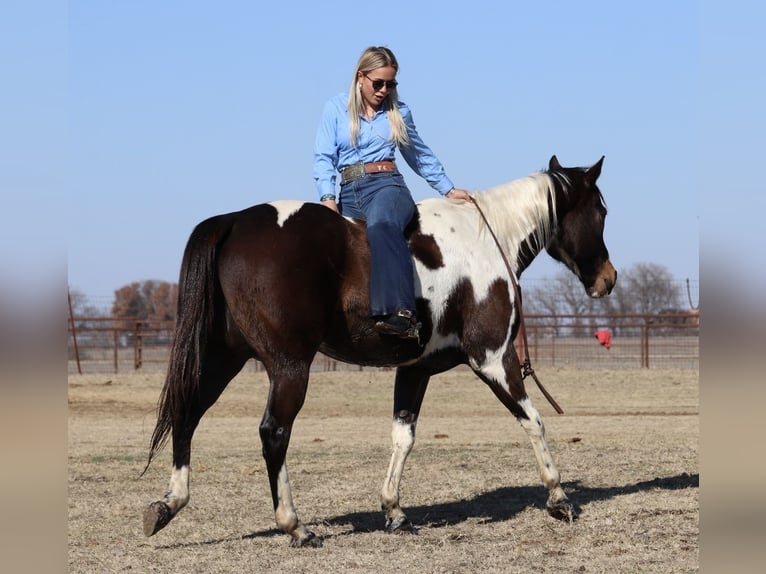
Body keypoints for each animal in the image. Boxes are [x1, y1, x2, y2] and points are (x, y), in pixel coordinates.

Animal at [142, 155, 616, 547]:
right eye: (601, 211)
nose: (607, 279)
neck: (486, 238)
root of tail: (235, 221)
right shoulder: (494, 359)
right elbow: (534, 421)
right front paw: (559, 498)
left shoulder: (415, 370)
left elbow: (402, 437)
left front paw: (394, 511)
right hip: (289, 367)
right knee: (274, 432)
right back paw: (296, 526)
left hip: (222, 360)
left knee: (186, 415)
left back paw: (168, 505)